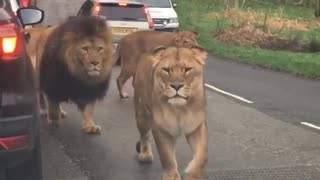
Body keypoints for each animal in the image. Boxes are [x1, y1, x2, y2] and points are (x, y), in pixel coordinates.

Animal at [134, 45, 209, 179]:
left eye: (187, 69)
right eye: (166, 70)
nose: (177, 86)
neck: (180, 110)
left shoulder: (196, 127)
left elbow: (203, 155)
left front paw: (191, 174)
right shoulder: (162, 129)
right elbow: (167, 157)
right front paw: (172, 177)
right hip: (142, 115)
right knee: (144, 135)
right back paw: (145, 154)